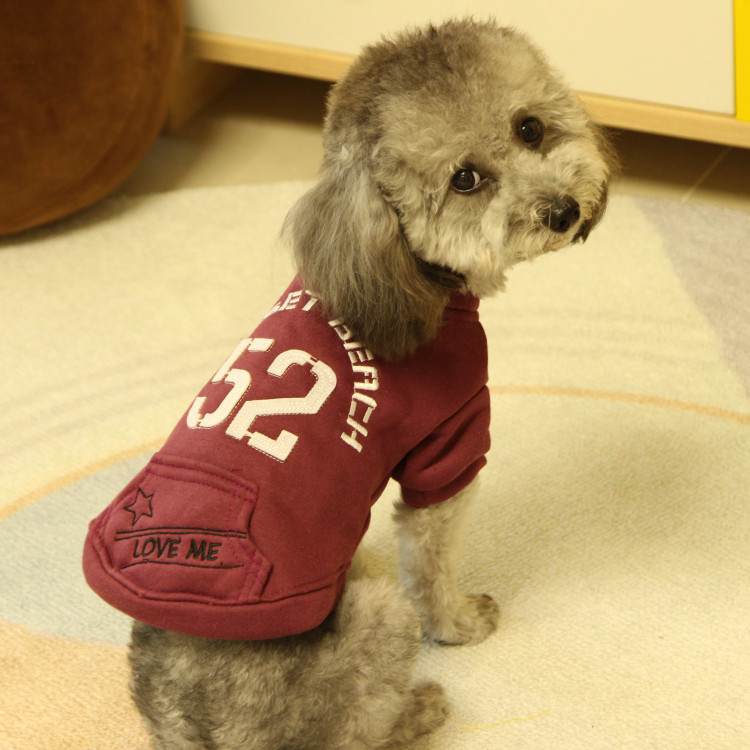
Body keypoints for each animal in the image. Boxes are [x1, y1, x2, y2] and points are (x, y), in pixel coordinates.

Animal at [83, 18, 616, 749]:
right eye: (465, 179)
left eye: (530, 127)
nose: (563, 211)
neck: (408, 279)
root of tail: (183, 723)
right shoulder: (447, 447)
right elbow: (433, 568)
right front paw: (460, 625)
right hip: (376, 614)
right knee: (356, 730)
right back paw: (419, 708)